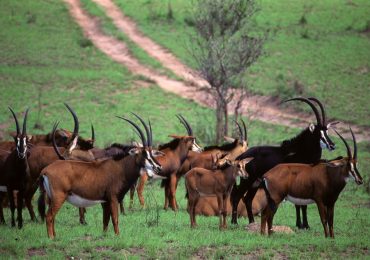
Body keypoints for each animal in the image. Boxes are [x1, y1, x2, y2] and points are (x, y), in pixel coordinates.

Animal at [233, 96, 336, 229]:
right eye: (320, 133)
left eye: (327, 132)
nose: (332, 145)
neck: (301, 151)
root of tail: (242, 156)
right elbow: (300, 204)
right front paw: (303, 225)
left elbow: (301, 204)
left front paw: (302, 224)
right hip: (248, 180)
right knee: (237, 196)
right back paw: (234, 222)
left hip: (255, 182)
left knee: (247, 199)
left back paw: (251, 222)